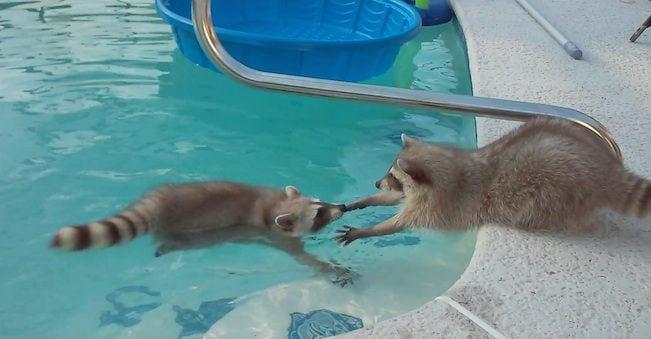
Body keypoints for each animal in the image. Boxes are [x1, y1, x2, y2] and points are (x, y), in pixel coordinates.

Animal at [49, 182, 352, 282]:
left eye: (321, 203)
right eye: (319, 215)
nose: (342, 206)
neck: (276, 206)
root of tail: (158, 202)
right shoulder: (277, 237)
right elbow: (303, 257)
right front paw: (331, 267)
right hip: (194, 233)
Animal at [338, 117, 648, 244]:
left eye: (393, 175)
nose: (376, 183)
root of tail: (608, 170)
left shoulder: (439, 204)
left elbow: (401, 223)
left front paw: (369, 230)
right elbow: (395, 200)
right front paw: (363, 201)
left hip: (560, 192)